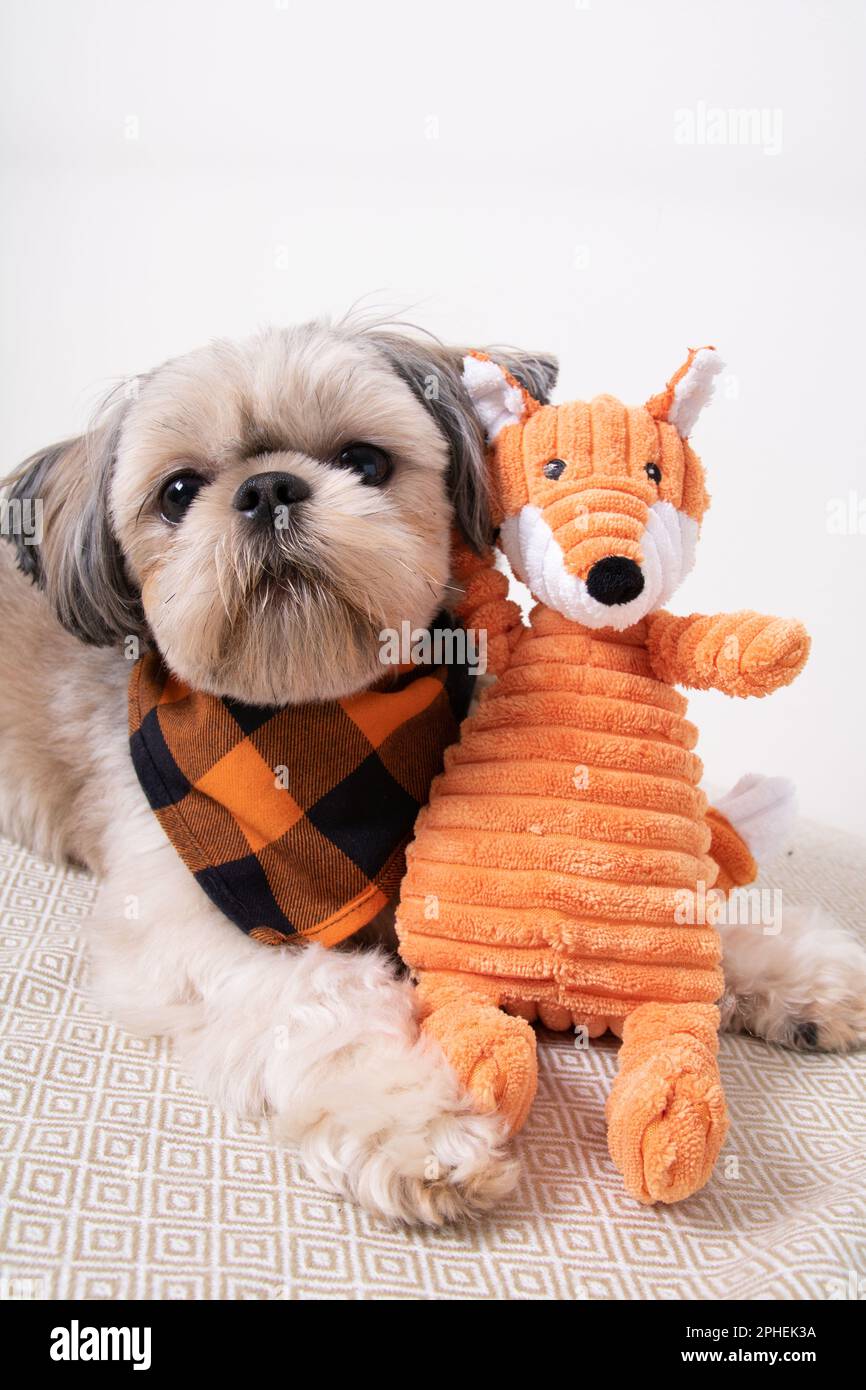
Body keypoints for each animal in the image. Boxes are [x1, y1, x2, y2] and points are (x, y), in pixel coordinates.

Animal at [1, 318, 866, 1228]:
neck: (319, 732)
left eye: (366, 461)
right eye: (177, 492)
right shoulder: (187, 920)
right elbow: (316, 1002)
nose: (267, 489)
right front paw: (417, 1120)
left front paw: (787, 965)